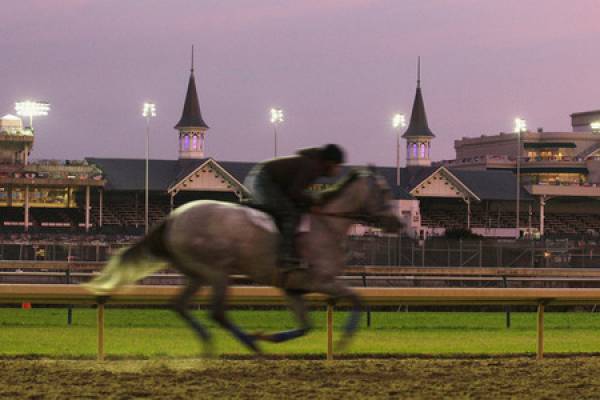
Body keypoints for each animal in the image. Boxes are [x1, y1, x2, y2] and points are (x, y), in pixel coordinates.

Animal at [85, 168, 404, 354]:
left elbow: (306, 325)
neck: (326, 224)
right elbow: (358, 298)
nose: (399, 223)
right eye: (385, 192)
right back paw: (248, 345)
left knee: (179, 304)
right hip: (216, 272)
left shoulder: (293, 288)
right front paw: (343, 341)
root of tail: (173, 217)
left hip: (197, 273)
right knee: (217, 313)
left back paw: (216, 344)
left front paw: (270, 337)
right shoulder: (319, 280)